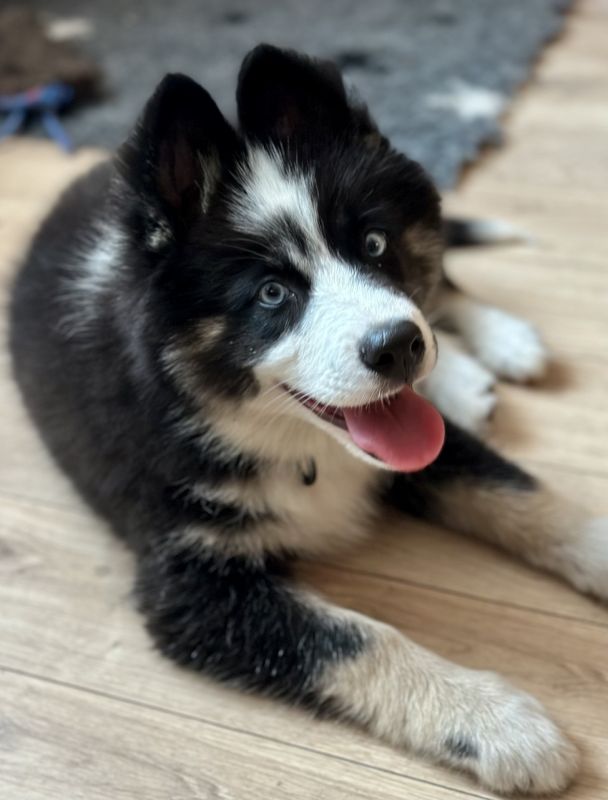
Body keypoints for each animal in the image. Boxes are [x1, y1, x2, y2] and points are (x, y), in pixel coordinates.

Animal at [9, 45, 606, 794]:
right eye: (271, 295)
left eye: (375, 244)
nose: (399, 347)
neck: (290, 441)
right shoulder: (192, 585)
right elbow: (357, 640)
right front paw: (504, 726)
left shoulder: (419, 438)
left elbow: (514, 490)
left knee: (446, 288)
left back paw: (498, 343)